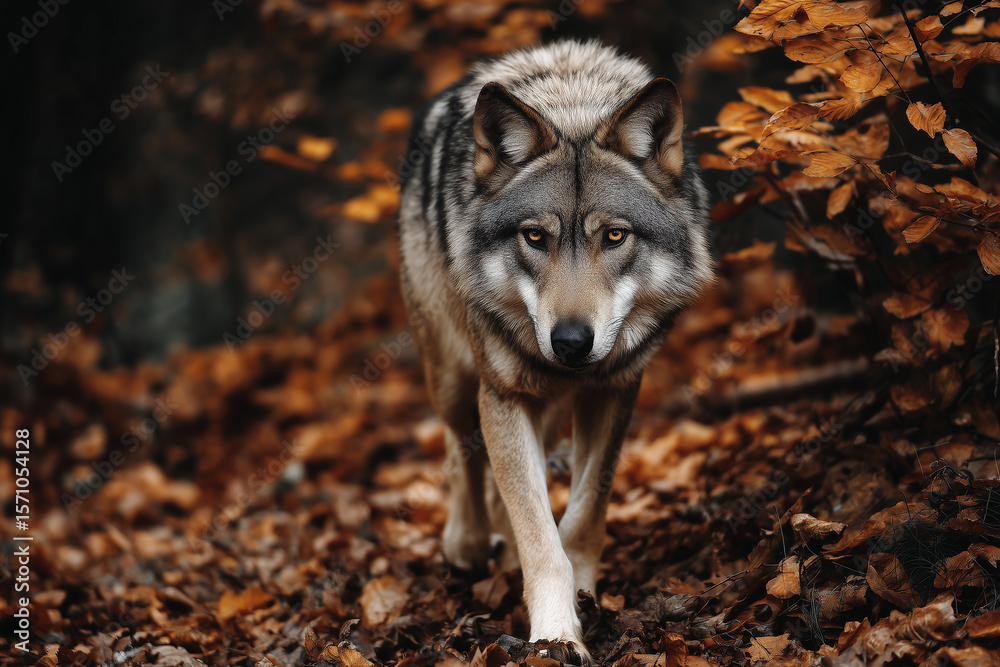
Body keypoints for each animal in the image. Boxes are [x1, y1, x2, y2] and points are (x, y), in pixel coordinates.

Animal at [397, 39, 713, 661]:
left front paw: (586, 599)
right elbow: (540, 538)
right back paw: (468, 541)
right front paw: (555, 636)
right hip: (452, 378)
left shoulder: (616, 389)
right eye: (535, 237)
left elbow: (583, 513)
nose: (569, 342)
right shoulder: (503, 395)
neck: (573, 107)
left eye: (614, 236)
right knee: (459, 446)